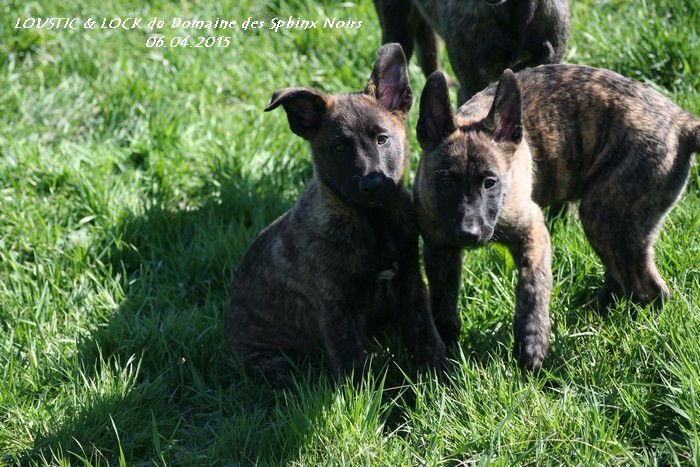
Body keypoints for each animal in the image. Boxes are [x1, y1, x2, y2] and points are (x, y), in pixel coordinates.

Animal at [224, 44, 446, 388]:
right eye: (340, 146)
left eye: (382, 138)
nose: (372, 183)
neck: (373, 222)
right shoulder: (337, 309)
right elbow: (353, 367)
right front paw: (366, 401)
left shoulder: (410, 282)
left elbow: (427, 337)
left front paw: (445, 381)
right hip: (278, 363)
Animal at [412, 65, 700, 370]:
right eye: (445, 181)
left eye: (490, 182)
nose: (469, 234)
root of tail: (681, 121)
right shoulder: (439, 249)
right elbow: (442, 299)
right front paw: (446, 348)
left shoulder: (532, 229)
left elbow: (533, 286)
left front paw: (532, 345)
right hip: (616, 225)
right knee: (622, 275)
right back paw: (596, 313)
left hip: (604, 214)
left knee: (648, 290)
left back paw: (633, 332)